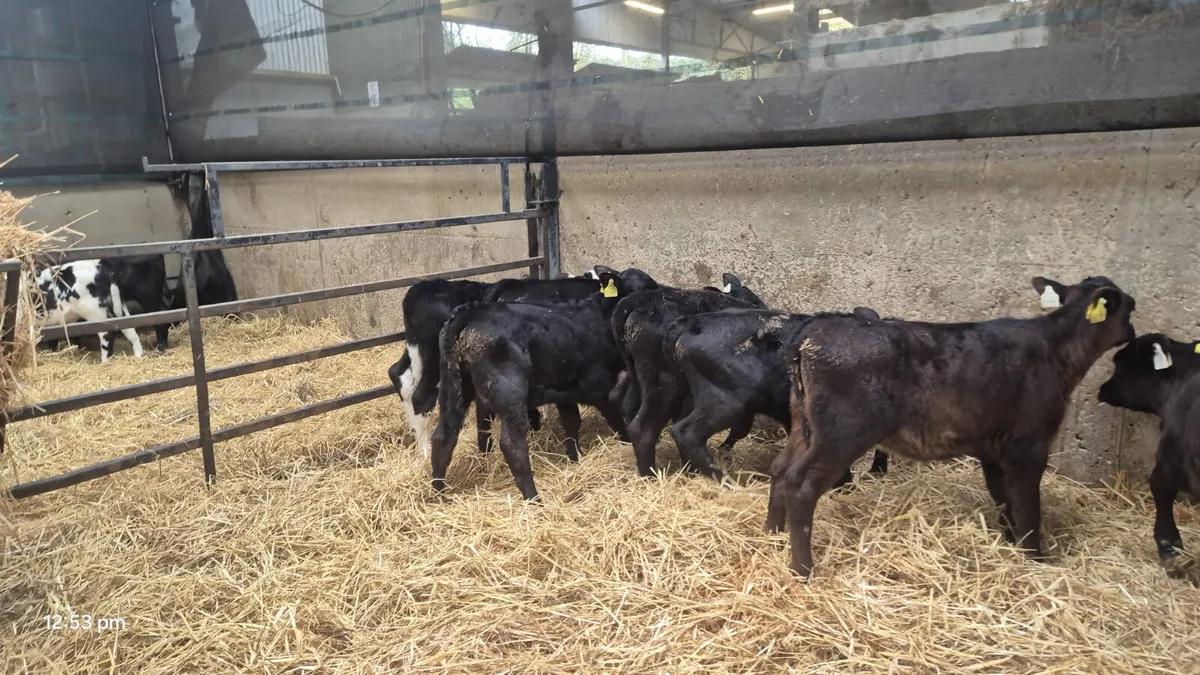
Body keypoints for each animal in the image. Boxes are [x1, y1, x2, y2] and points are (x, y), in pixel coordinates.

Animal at [35, 256, 173, 361]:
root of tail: (106, 272)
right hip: (117, 305)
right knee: (129, 328)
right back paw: (139, 356)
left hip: (98, 310)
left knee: (107, 334)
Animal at [430, 271, 634, 499]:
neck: (599, 317)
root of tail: (468, 313)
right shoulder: (598, 385)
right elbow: (616, 418)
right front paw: (628, 445)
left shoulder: (564, 390)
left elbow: (571, 422)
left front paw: (575, 457)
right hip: (508, 392)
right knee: (512, 444)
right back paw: (534, 498)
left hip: (454, 385)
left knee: (444, 435)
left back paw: (438, 495)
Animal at [771, 276, 1136, 576]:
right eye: (1129, 308)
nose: (1133, 334)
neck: (1056, 351)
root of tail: (811, 336)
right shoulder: (1029, 445)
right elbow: (1028, 506)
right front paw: (1035, 558)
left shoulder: (992, 448)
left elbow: (1003, 498)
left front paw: (1009, 541)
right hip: (843, 433)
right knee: (801, 482)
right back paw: (803, 569)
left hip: (804, 424)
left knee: (780, 468)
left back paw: (773, 534)